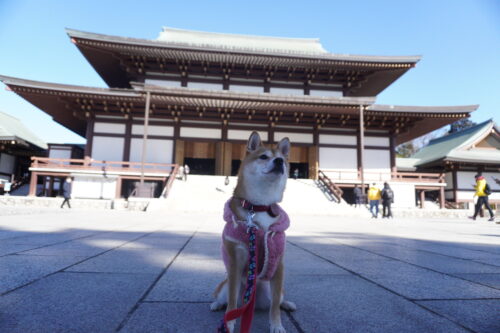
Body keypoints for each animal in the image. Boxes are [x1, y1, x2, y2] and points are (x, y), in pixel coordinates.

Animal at [209, 132, 294, 332]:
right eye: (263, 157)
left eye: (282, 158)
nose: (279, 161)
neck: (259, 207)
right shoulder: (235, 261)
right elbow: (232, 301)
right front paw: (229, 324)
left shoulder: (277, 261)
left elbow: (275, 307)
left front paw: (277, 325)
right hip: (226, 285)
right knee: (224, 297)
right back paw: (217, 304)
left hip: (272, 290)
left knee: (278, 300)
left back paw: (287, 304)